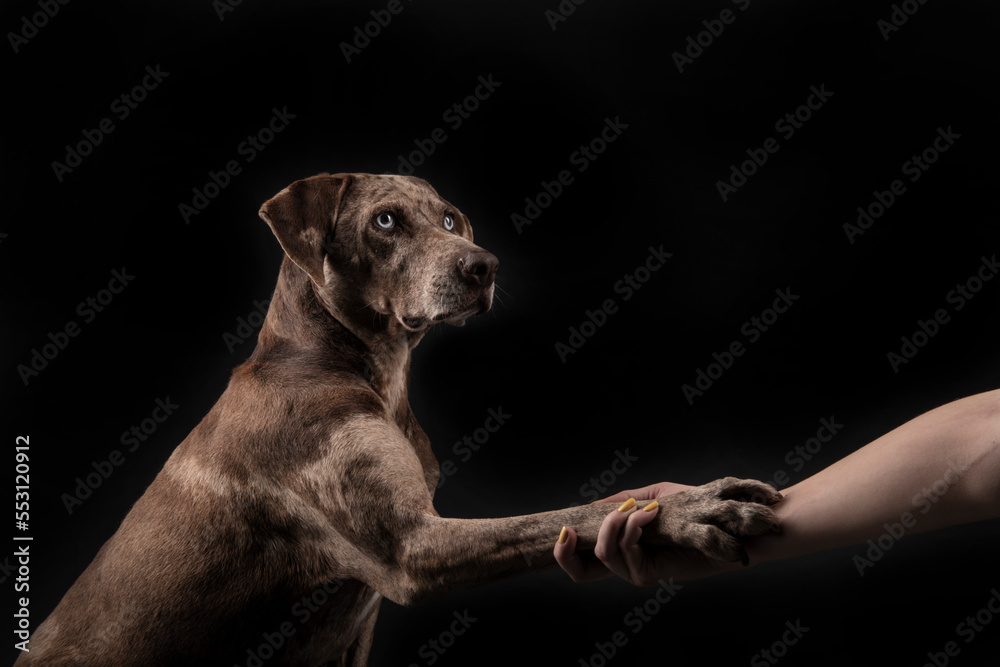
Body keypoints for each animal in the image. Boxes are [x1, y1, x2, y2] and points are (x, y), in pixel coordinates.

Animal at [15, 175, 780, 664]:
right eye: (385, 220)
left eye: (448, 219)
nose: (483, 265)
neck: (363, 370)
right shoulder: (411, 546)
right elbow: (578, 511)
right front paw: (690, 508)